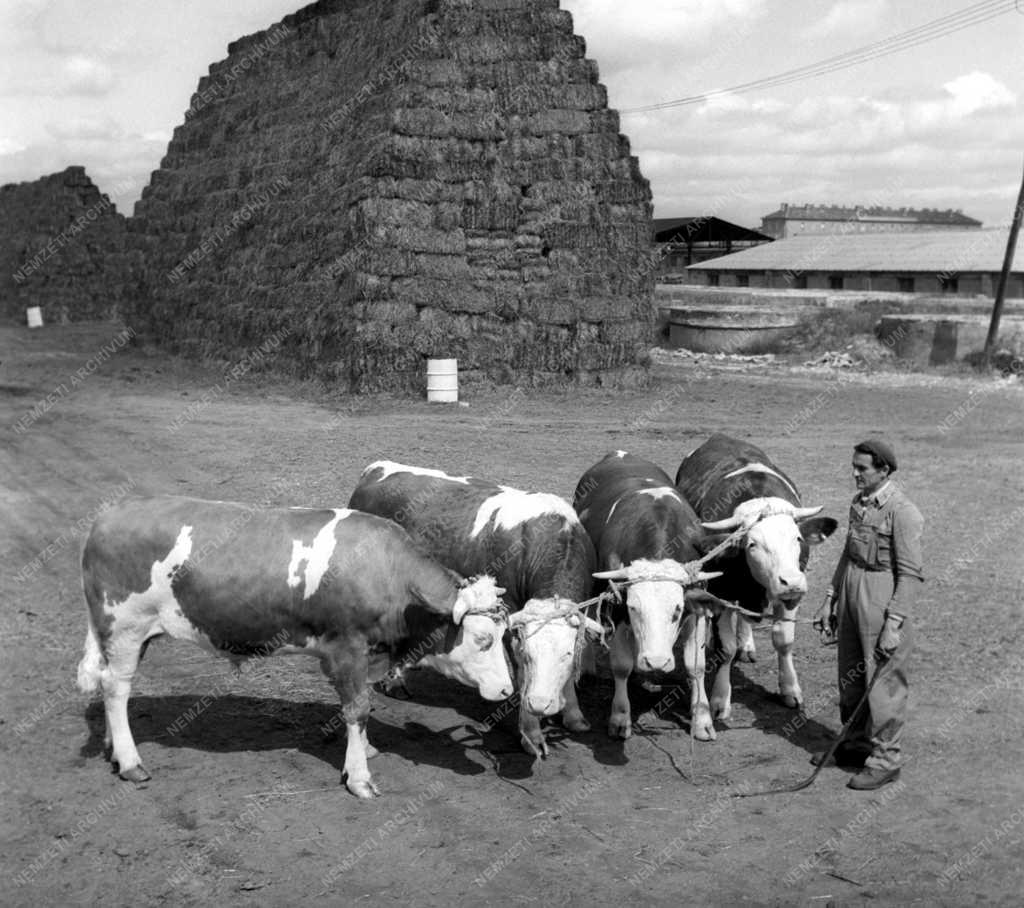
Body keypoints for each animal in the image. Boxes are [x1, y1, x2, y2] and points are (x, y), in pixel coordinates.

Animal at [75, 493, 516, 798]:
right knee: (116, 687)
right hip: (126, 625)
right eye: (482, 639)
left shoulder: (367, 655)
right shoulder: (346, 649)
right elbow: (357, 708)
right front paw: (359, 777)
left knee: (109, 683)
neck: (388, 573)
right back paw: (131, 761)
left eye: (504, 634)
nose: (507, 690)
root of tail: (110, 515)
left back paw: (114, 747)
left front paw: (366, 749)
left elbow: (363, 706)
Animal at [352, 460, 602, 761]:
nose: (540, 704)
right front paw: (531, 735)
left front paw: (574, 715)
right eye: (527, 654)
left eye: (566, 655)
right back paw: (396, 682)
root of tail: (376, 468)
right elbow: (521, 675)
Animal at [577, 450, 729, 741]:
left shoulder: (696, 612)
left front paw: (702, 719)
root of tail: (619, 454)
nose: (656, 661)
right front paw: (620, 717)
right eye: (634, 608)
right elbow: (621, 665)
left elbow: (696, 666)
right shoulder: (618, 611)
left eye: (677, 611)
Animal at [675, 434, 835, 716]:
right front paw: (720, 699)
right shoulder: (720, 592)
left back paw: (747, 644)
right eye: (752, 544)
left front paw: (790, 689)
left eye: (798, 538)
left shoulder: (789, 597)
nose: (792, 581)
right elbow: (726, 649)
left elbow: (783, 640)